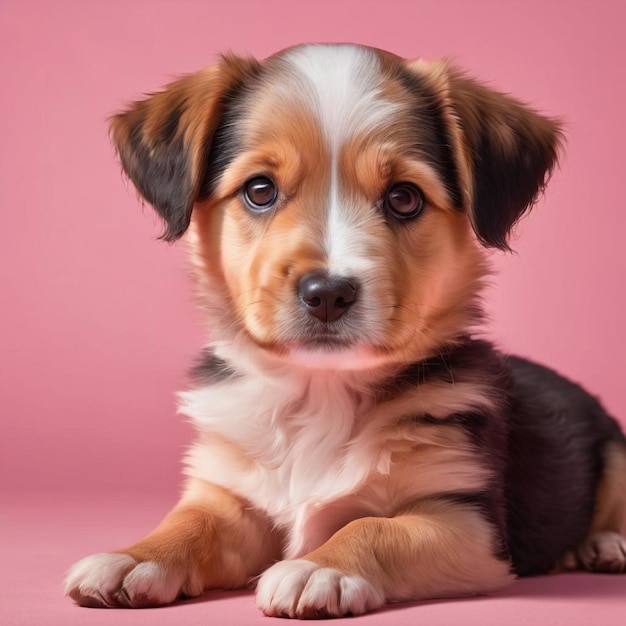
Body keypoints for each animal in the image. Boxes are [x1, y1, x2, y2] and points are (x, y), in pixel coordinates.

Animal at [64, 42, 624, 616]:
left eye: (404, 198)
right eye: (259, 190)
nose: (327, 294)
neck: (320, 393)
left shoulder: (466, 519)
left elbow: (374, 527)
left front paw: (320, 567)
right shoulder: (228, 495)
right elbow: (190, 520)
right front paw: (136, 556)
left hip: (614, 450)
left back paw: (604, 544)